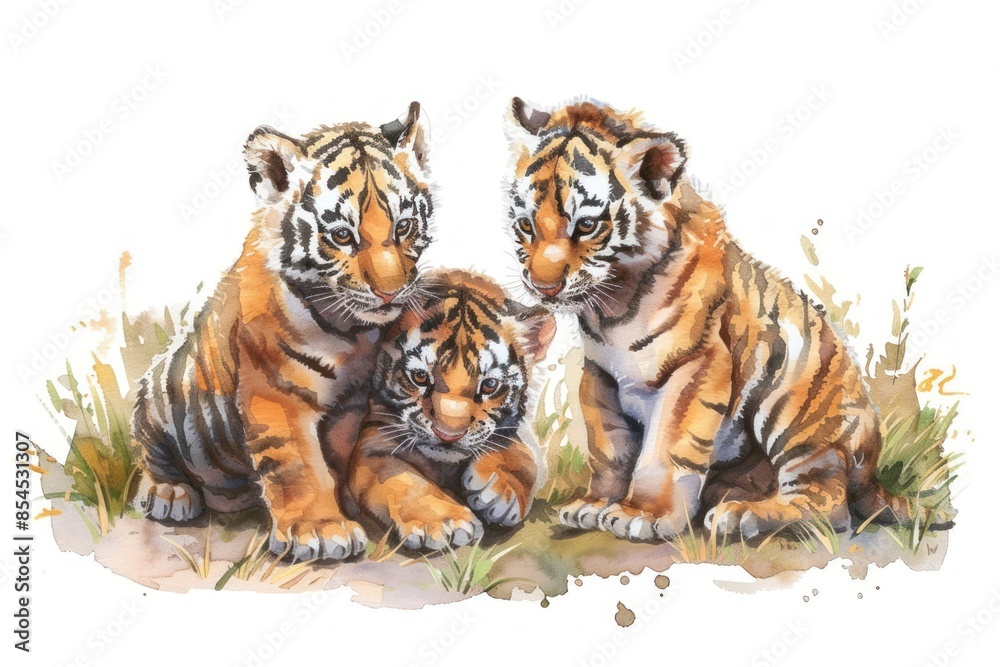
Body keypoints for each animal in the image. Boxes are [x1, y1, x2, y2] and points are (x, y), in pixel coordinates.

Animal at [131, 103, 436, 560]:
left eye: (403, 227)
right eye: (342, 235)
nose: (390, 291)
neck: (351, 331)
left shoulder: (351, 404)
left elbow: (340, 458)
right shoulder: (277, 394)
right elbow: (299, 463)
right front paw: (321, 531)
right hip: (158, 394)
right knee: (152, 455)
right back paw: (169, 493)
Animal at [349, 268, 556, 550]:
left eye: (489, 385)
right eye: (420, 377)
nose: (448, 435)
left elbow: (521, 453)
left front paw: (500, 490)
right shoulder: (373, 443)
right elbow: (404, 480)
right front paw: (445, 521)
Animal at [502, 97, 910, 542]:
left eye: (587, 225)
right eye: (525, 226)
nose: (543, 288)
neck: (613, 305)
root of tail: (873, 474)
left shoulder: (696, 362)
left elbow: (664, 446)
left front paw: (644, 514)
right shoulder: (601, 375)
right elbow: (608, 446)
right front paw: (595, 503)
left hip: (795, 402)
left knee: (830, 506)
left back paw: (742, 515)